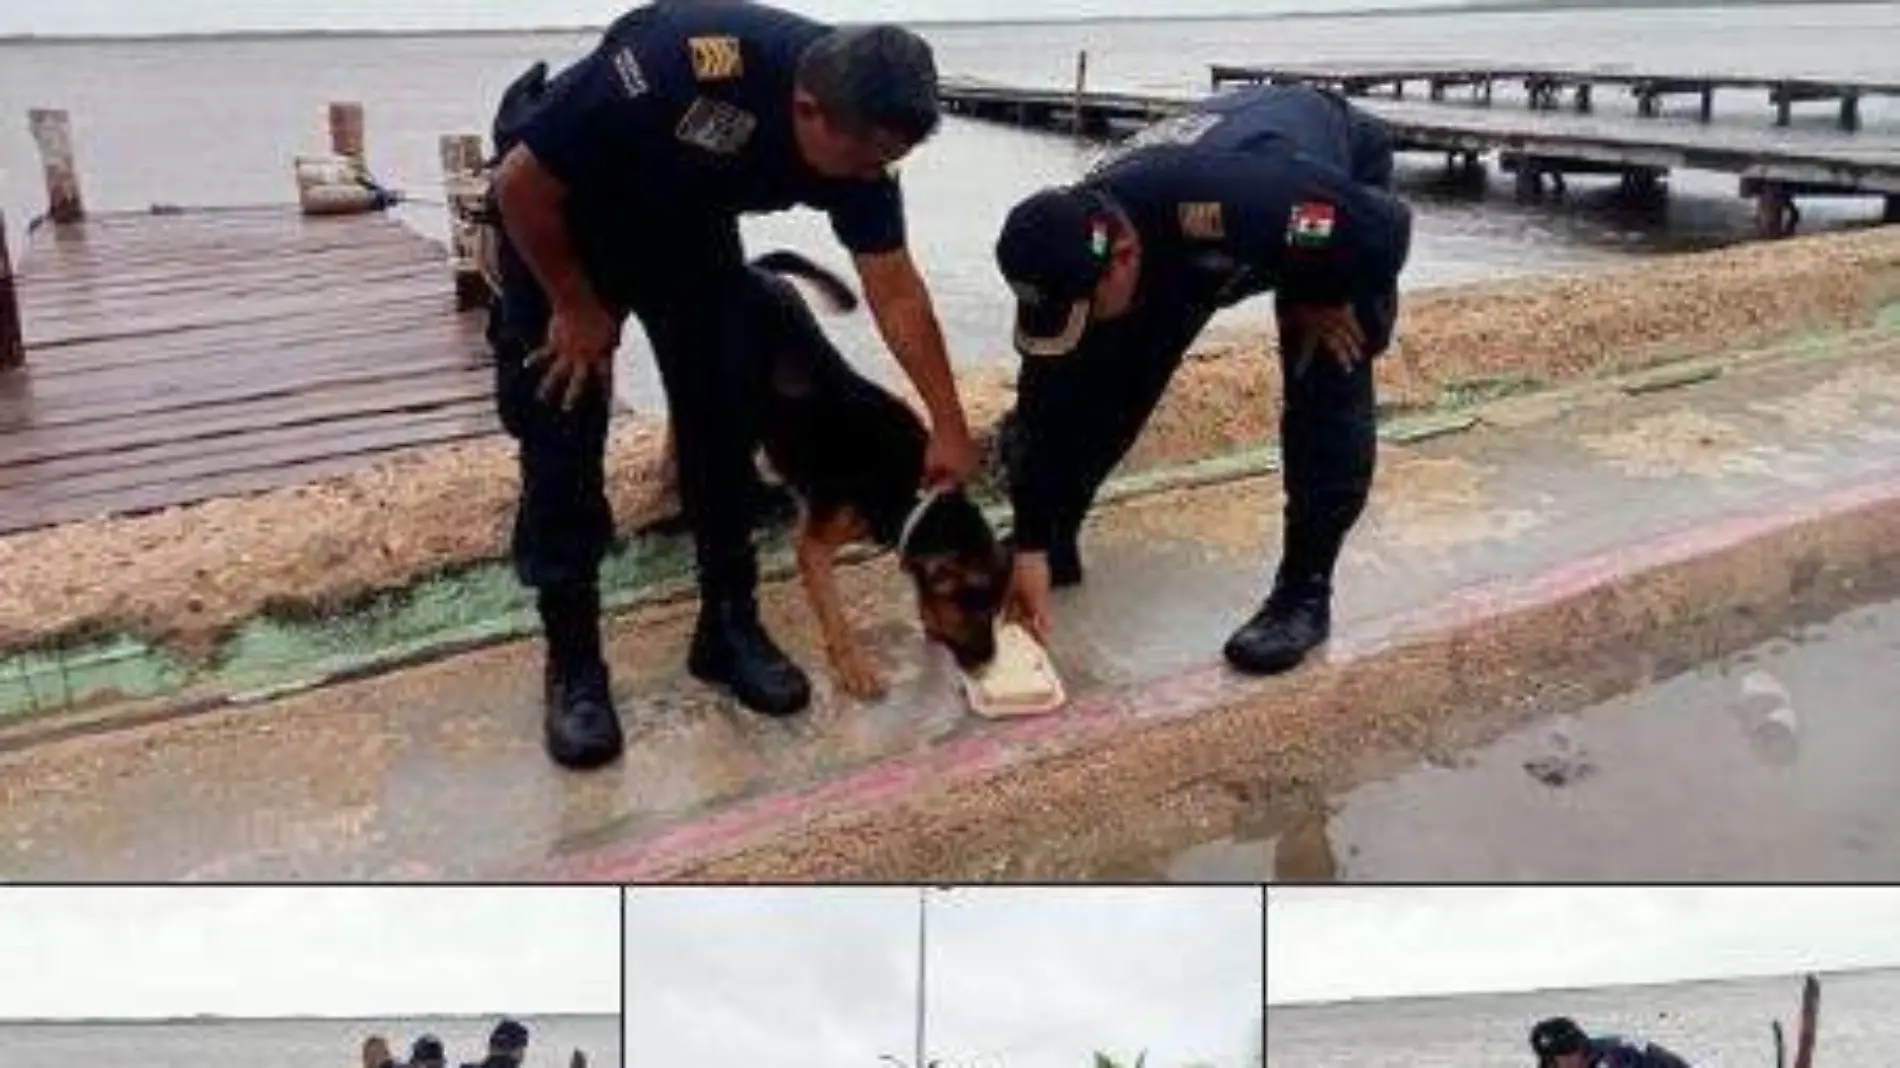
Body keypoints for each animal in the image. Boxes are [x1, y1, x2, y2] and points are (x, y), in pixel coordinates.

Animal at [718, 248, 1018, 699]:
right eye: (970, 604)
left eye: (996, 605)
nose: (986, 664)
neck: (912, 493)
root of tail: (754, 270)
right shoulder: (812, 547)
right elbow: (833, 612)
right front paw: (852, 665)